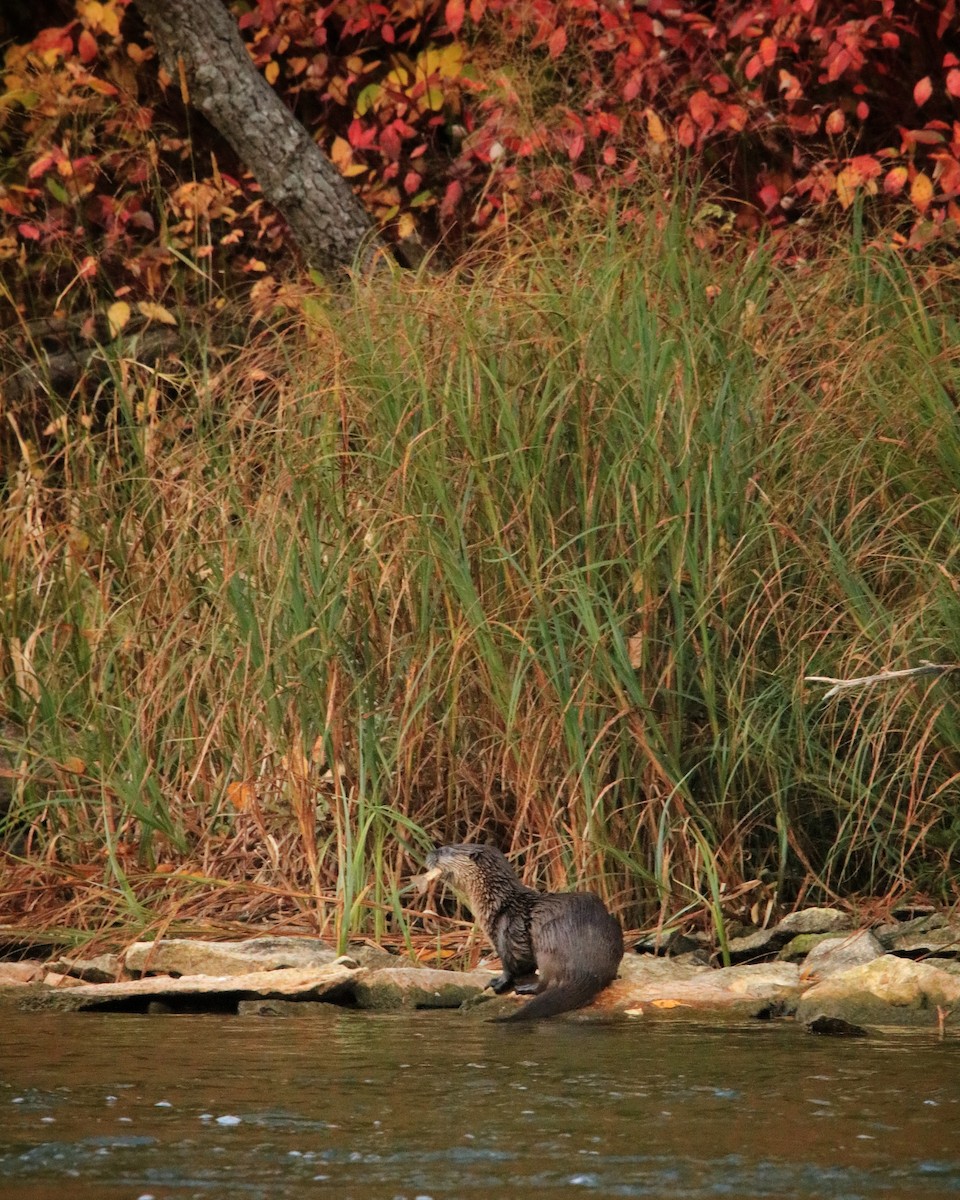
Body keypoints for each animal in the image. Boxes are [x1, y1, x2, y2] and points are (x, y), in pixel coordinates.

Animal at [424, 843, 624, 1021]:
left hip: (548, 945)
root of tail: (588, 969)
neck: (496, 902)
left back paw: (527, 988)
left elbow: (511, 965)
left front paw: (498, 983)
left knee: (547, 982)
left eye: (445, 850)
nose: (429, 854)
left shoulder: (504, 930)